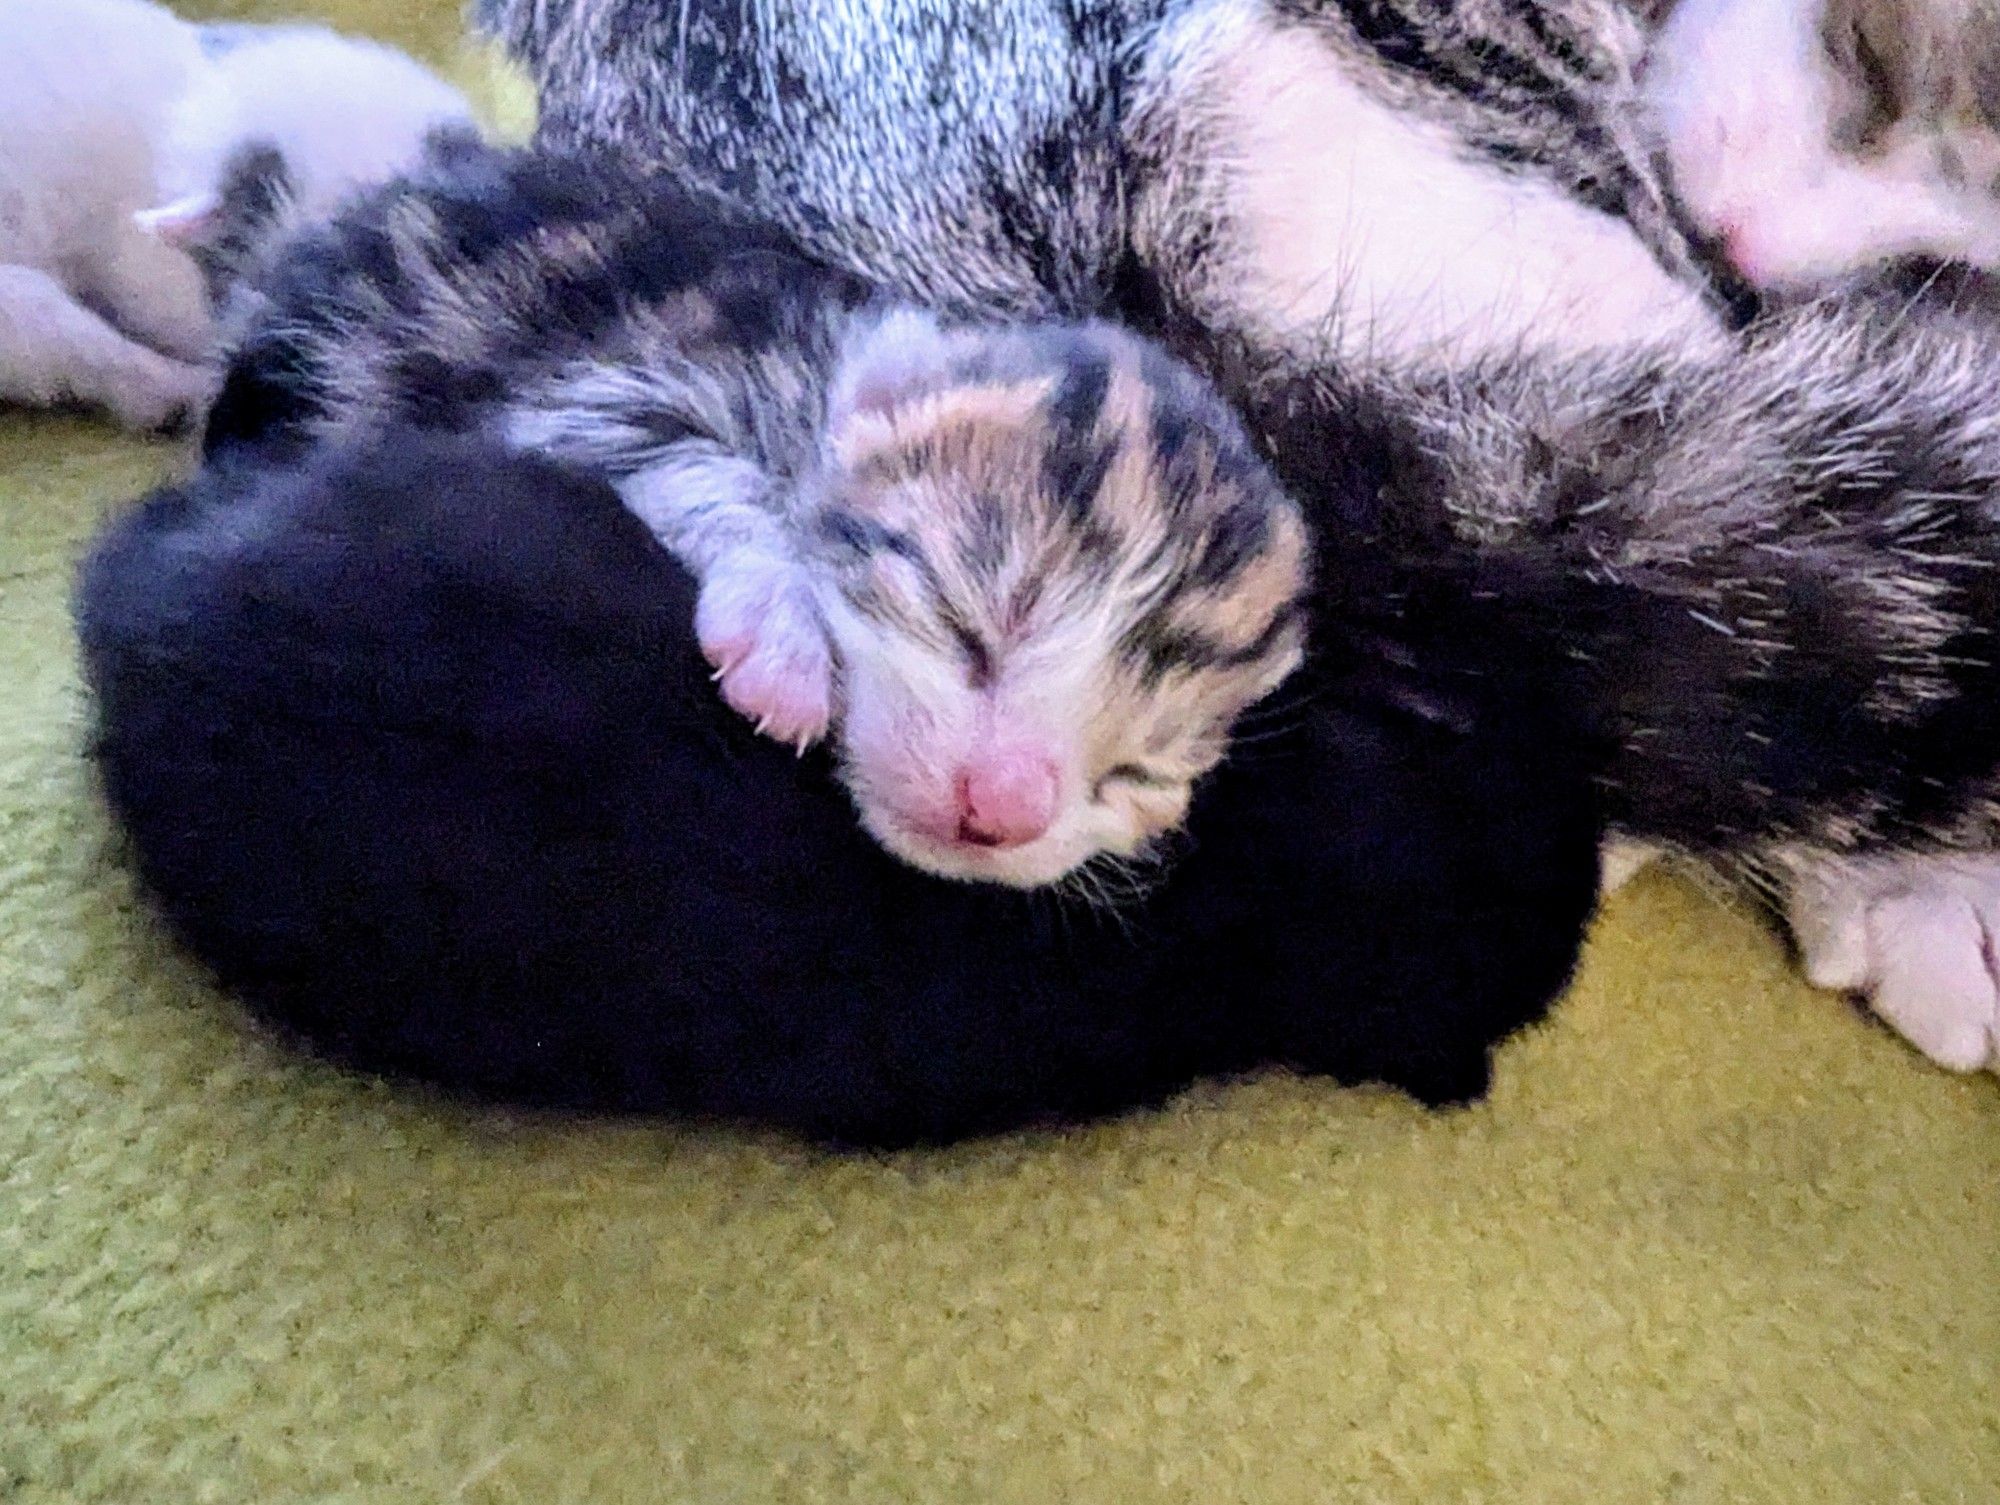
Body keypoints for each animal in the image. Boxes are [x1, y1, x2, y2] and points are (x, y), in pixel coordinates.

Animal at [211, 142, 1312, 888]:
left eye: (1136, 772)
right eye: (976, 626)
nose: (1004, 812)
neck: (815, 369)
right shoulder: (609, 387)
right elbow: (698, 463)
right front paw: (779, 639)